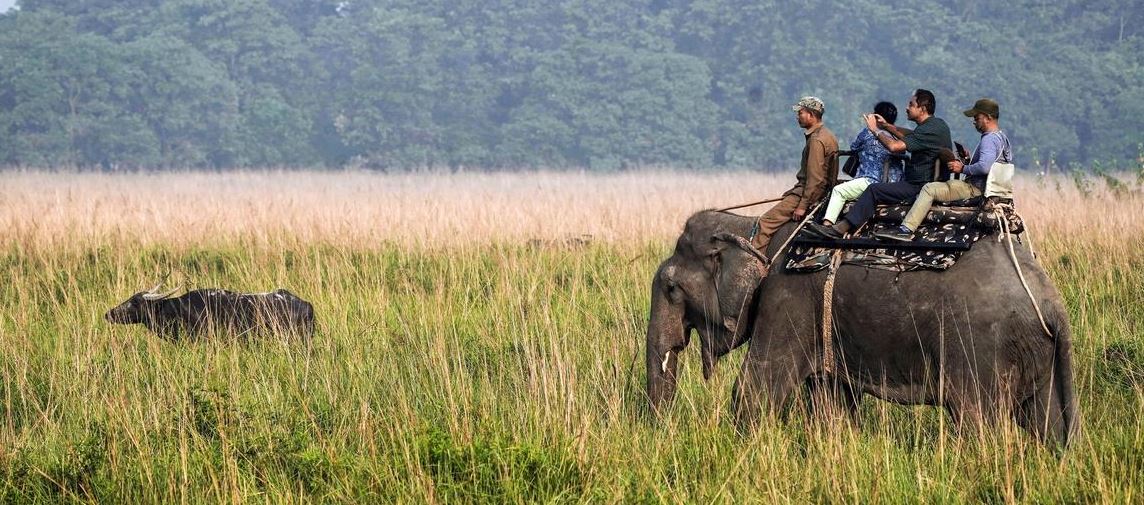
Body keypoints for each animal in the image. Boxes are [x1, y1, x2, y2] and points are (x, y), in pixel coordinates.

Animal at [644, 209, 1079, 446]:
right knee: (1049, 423)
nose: (662, 435)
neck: (753, 224)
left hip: (981, 347)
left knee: (977, 422)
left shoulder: (787, 296)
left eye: (671, 288)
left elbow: (756, 389)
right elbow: (831, 401)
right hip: (1037, 352)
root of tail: (1052, 303)